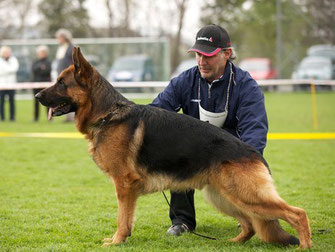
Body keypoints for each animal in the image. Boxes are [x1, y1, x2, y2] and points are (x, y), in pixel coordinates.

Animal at [36, 47, 312, 248]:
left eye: (60, 83)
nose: (37, 96)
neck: (107, 114)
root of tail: (253, 153)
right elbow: (127, 218)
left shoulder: (124, 185)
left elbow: (122, 219)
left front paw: (116, 241)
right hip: (223, 197)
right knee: (252, 224)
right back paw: (234, 242)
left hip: (245, 196)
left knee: (297, 213)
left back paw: (304, 245)